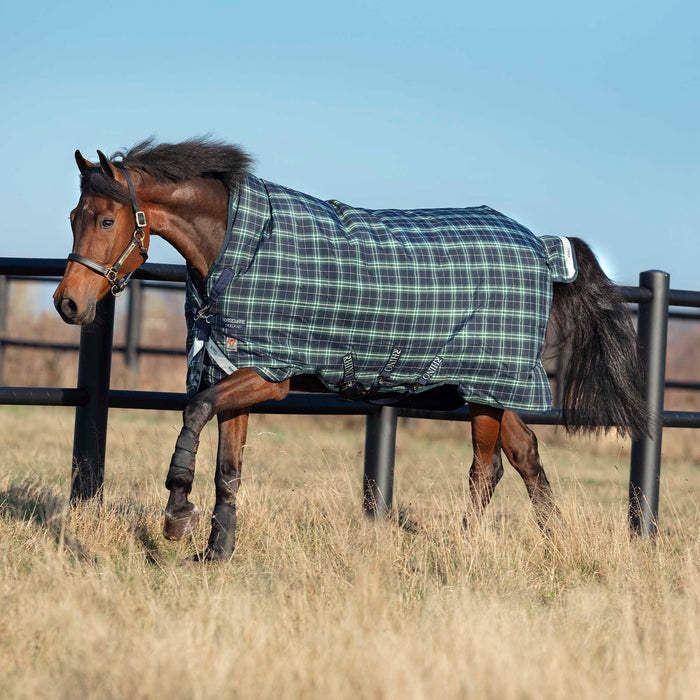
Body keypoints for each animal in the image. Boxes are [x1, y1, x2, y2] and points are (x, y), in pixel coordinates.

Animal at [54, 138, 647, 561]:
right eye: (73, 218)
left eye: (106, 219)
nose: (68, 303)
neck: (239, 245)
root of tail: (542, 249)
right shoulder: (232, 366)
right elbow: (228, 466)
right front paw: (215, 552)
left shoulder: (267, 373)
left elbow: (194, 414)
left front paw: (177, 513)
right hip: (491, 390)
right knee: (524, 454)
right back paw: (556, 544)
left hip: (486, 384)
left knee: (487, 468)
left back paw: (465, 551)